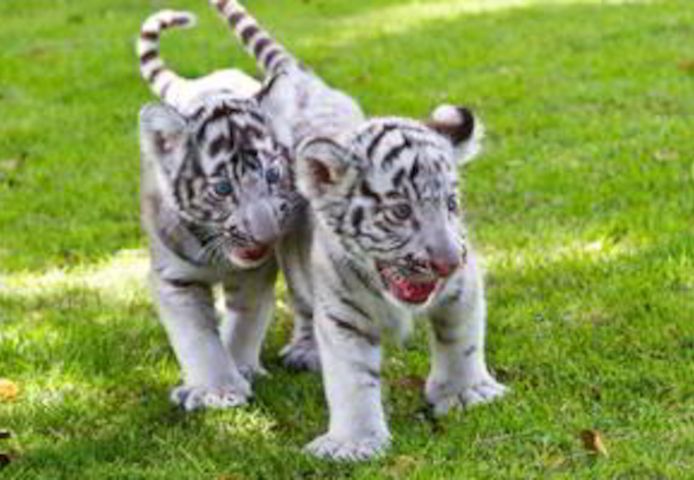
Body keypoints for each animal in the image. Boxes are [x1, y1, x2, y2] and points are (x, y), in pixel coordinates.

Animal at [136, 10, 303, 411]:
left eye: (273, 174)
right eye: (223, 189)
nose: (266, 235)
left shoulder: (256, 272)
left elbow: (246, 321)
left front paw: (239, 367)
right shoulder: (174, 279)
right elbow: (198, 339)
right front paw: (219, 388)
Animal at [206, 0, 510, 460]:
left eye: (451, 204)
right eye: (401, 211)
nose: (446, 262)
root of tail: (308, 84)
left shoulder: (463, 288)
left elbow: (462, 339)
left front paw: (466, 393)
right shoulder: (342, 314)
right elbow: (352, 380)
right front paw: (353, 443)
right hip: (297, 268)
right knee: (302, 307)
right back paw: (304, 350)